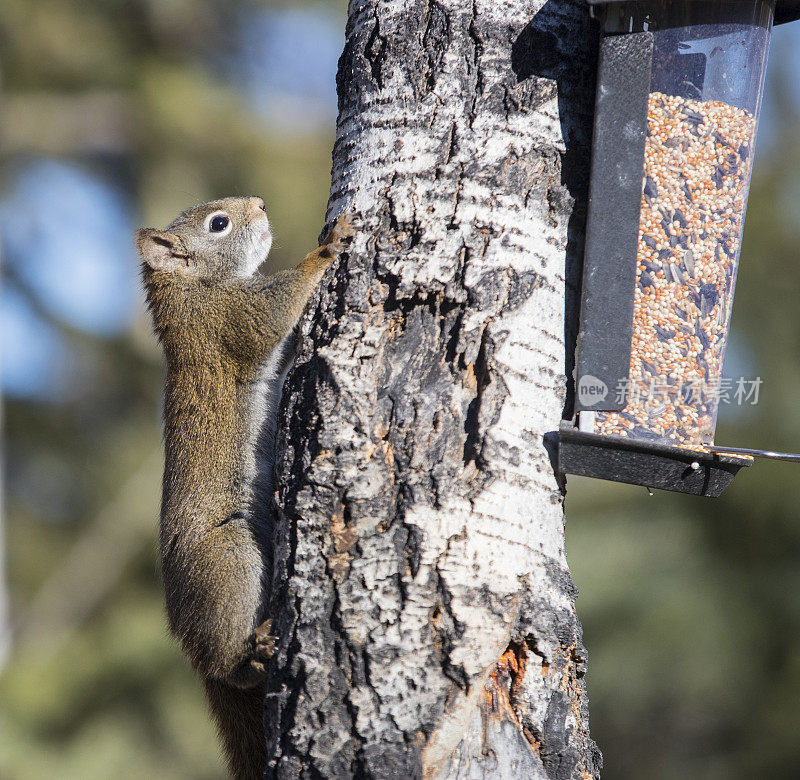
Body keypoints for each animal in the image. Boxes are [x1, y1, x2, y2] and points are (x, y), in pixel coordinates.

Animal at [137, 198, 354, 776]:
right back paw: (250, 653)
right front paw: (328, 246)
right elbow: (275, 312)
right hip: (227, 559)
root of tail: (189, 646)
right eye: (219, 224)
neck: (193, 291)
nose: (258, 203)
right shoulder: (229, 320)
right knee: (229, 663)